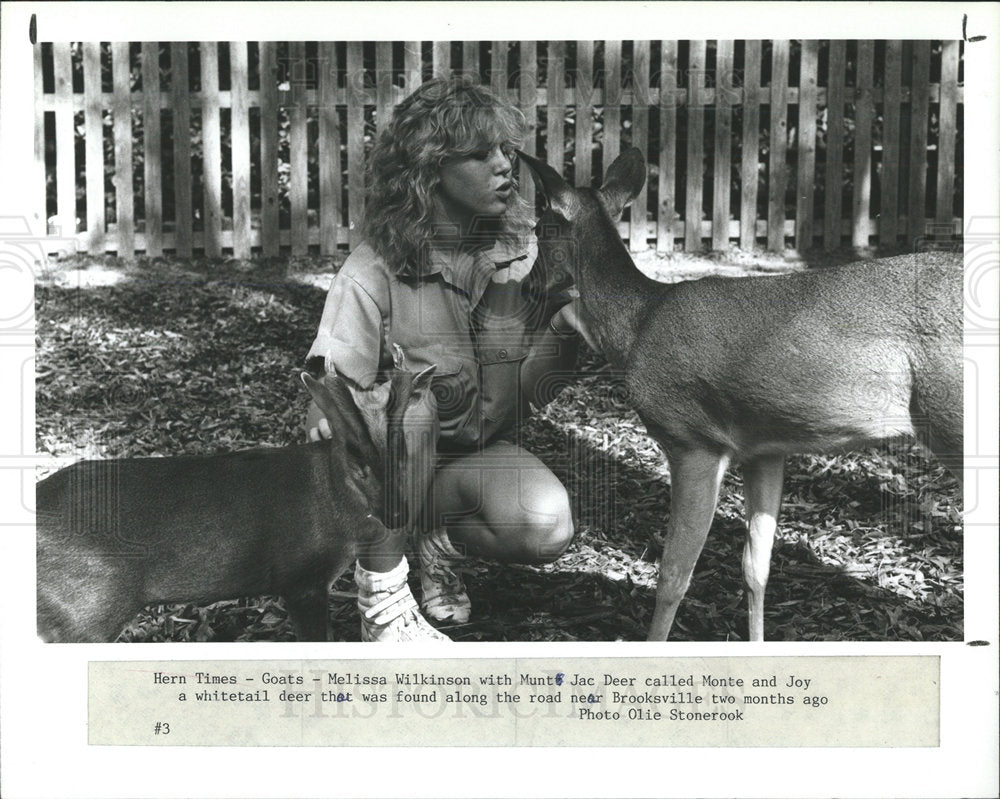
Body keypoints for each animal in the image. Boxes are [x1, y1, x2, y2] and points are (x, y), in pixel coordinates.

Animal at [519, 147, 963, 641]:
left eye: (538, 228)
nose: (526, 286)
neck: (636, 327)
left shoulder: (692, 440)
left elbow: (674, 575)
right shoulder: (764, 450)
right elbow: (756, 568)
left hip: (954, 418)